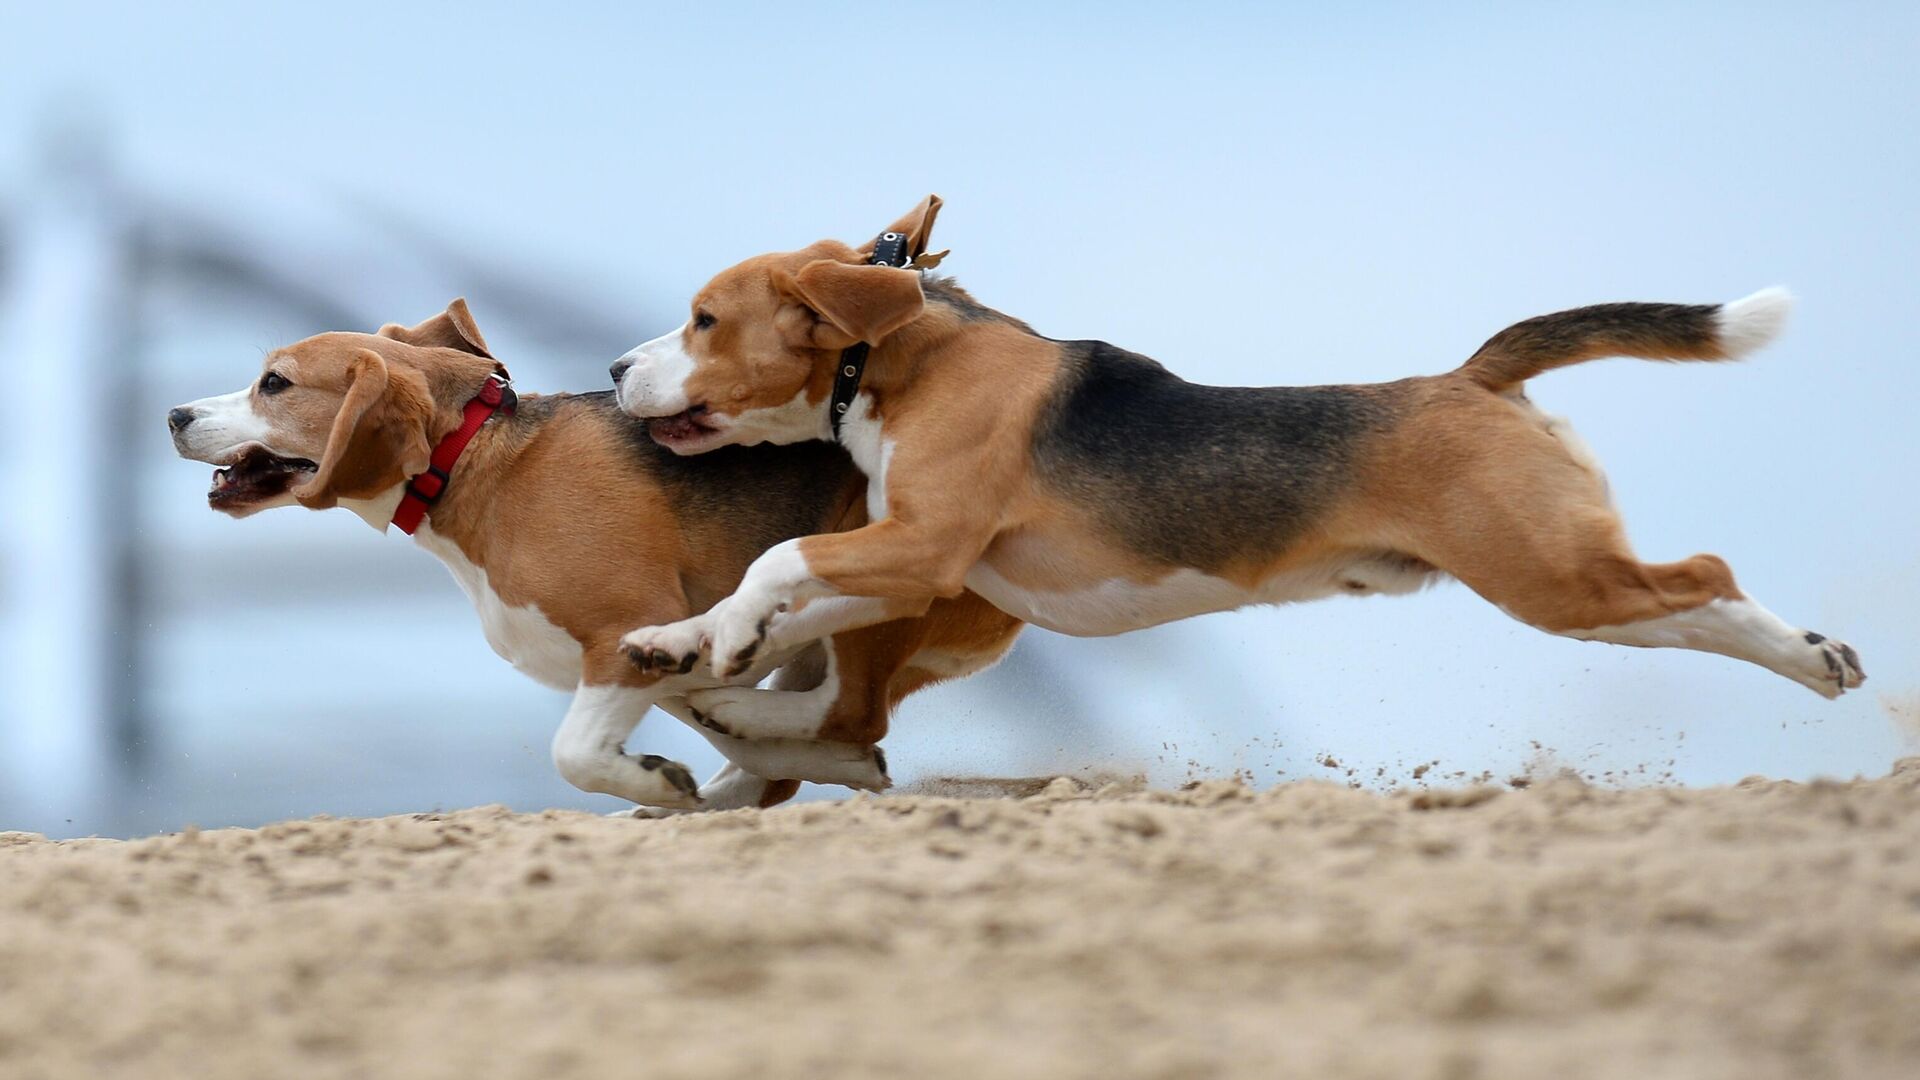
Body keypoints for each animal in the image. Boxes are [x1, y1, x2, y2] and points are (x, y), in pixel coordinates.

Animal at [172, 297, 1029, 803]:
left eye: (274, 384)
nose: (175, 414)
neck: (472, 457)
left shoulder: (623, 631)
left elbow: (575, 753)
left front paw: (657, 783)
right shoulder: (654, 648)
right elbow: (728, 728)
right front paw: (691, 777)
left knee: (854, 709)